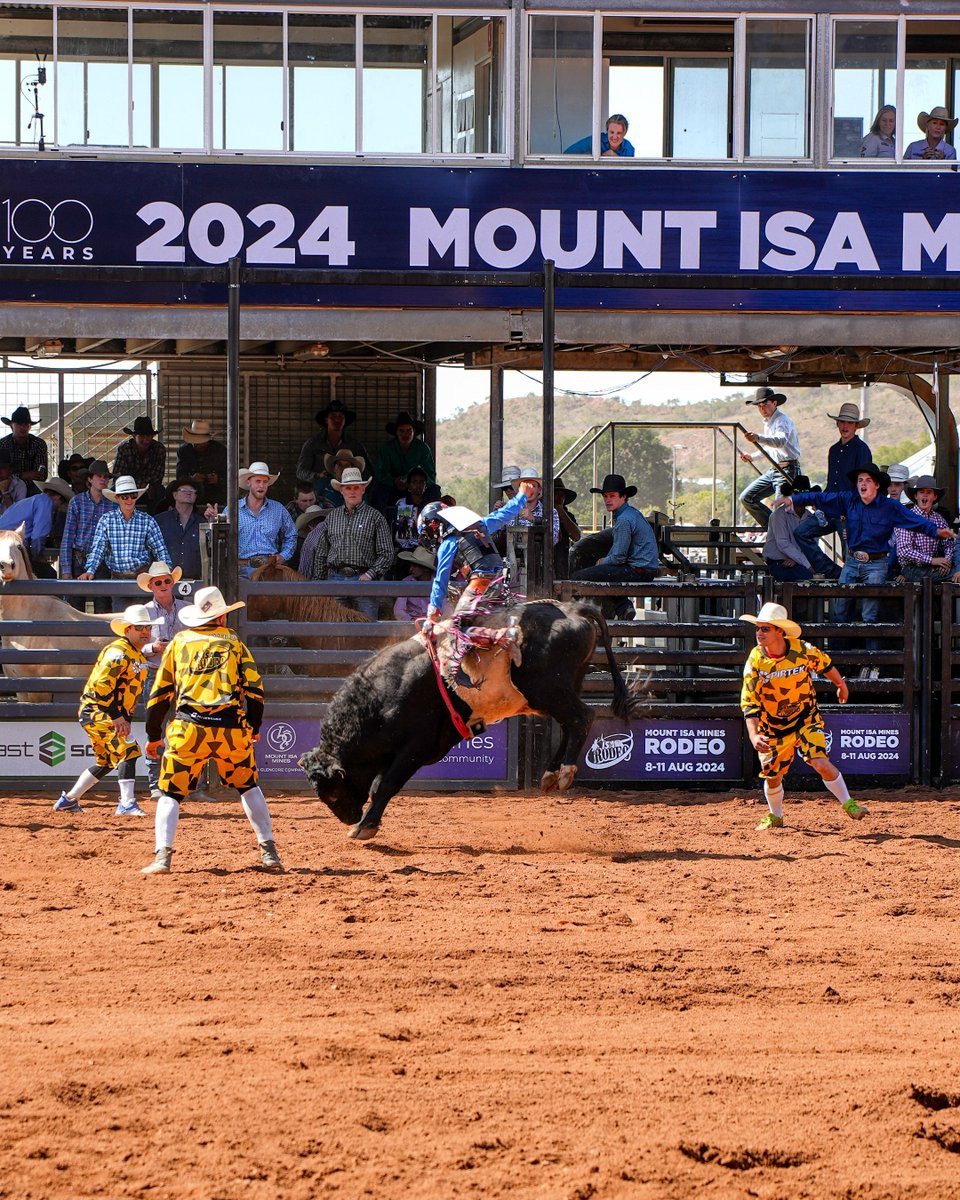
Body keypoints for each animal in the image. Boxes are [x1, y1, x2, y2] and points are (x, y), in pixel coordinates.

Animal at [299, 600, 639, 840]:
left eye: (331, 791)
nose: (347, 817)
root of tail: (572, 609)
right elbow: (377, 784)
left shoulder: (416, 747)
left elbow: (385, 785)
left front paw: (364, 827)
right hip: (556, 692)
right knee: (570, 724)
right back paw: (550, 774)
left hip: (548, 689)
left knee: (583, 717)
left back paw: (566, 773)